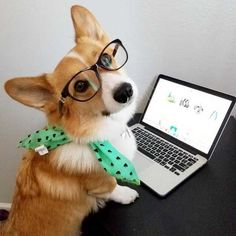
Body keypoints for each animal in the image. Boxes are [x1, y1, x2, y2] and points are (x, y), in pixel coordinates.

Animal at [0, 4, 139, 236]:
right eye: (80, 86)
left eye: (105, 59)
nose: (125, 91)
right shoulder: (99, 182)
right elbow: (111, 186)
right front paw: (126, 193)